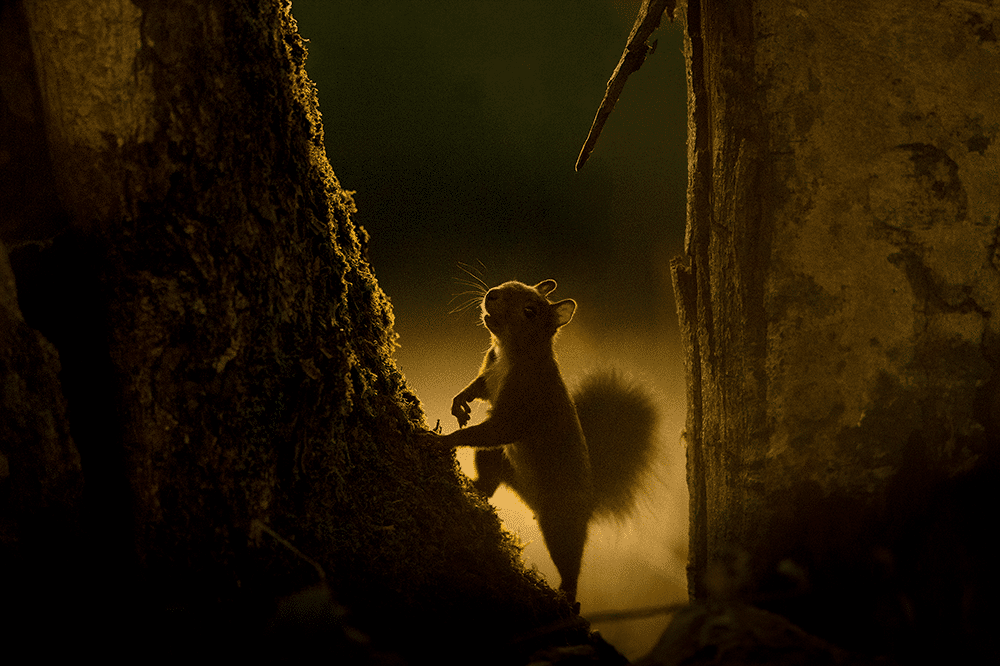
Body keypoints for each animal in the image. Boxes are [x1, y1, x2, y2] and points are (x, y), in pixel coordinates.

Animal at [425, 279, 658, 605]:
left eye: (530, 311)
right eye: (509, 283)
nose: (491, 295)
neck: (510, 353)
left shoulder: (526, 404)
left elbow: (499, 430)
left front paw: (446, 439)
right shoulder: (488, 373)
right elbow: (477, 387)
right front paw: (460, 401)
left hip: (561, 519)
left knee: (569, 557)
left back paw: (568, 596)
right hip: (496, 458)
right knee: (489, 484)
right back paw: (473, 486)